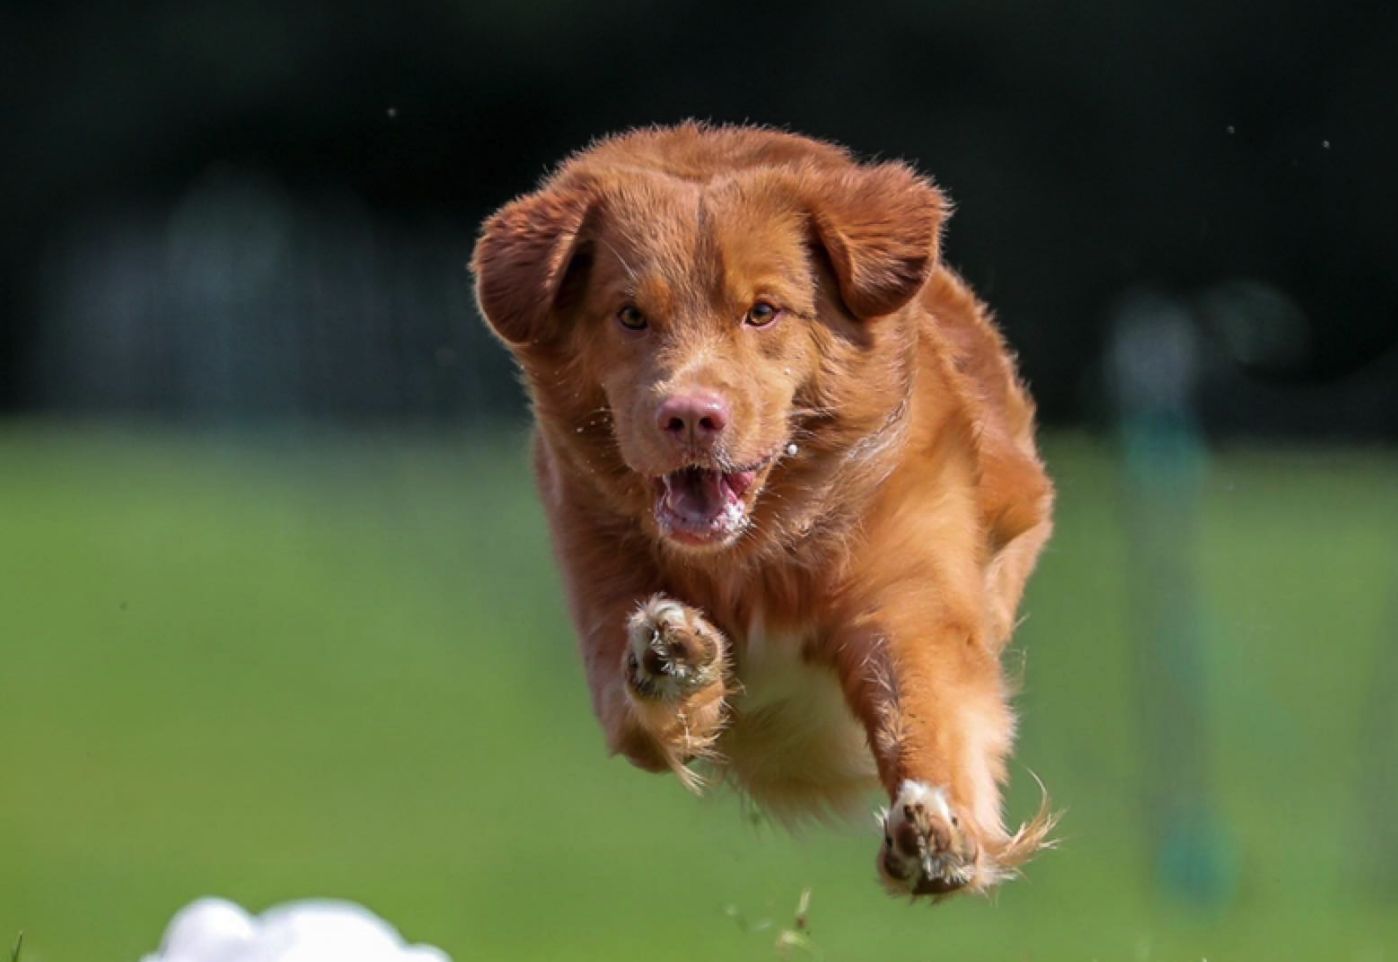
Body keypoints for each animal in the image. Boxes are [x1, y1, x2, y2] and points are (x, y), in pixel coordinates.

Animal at [475, 123, 1051, 900]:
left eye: (763, 311)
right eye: (631, 315)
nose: (691, 416)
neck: (756, 552)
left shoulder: (908, 594)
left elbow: (925, 702)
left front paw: (940, 831)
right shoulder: (597, 581)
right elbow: (635, 712)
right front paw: (673, 658)